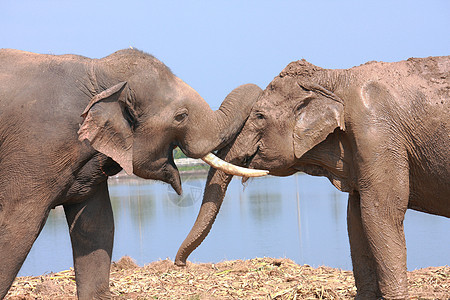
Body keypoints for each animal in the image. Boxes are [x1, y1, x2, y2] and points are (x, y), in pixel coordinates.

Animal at [0, 48, 264, 298]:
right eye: (181, 116)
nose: (180, 264)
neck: (98, 71)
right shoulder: (35, 150)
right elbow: (18, 226)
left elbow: (97, 223)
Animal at [176, 55, 450, 298]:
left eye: (259, 116)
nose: (181, 264)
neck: (335, 77)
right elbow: (355, 216)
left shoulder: (377, 132)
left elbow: (381, 211)